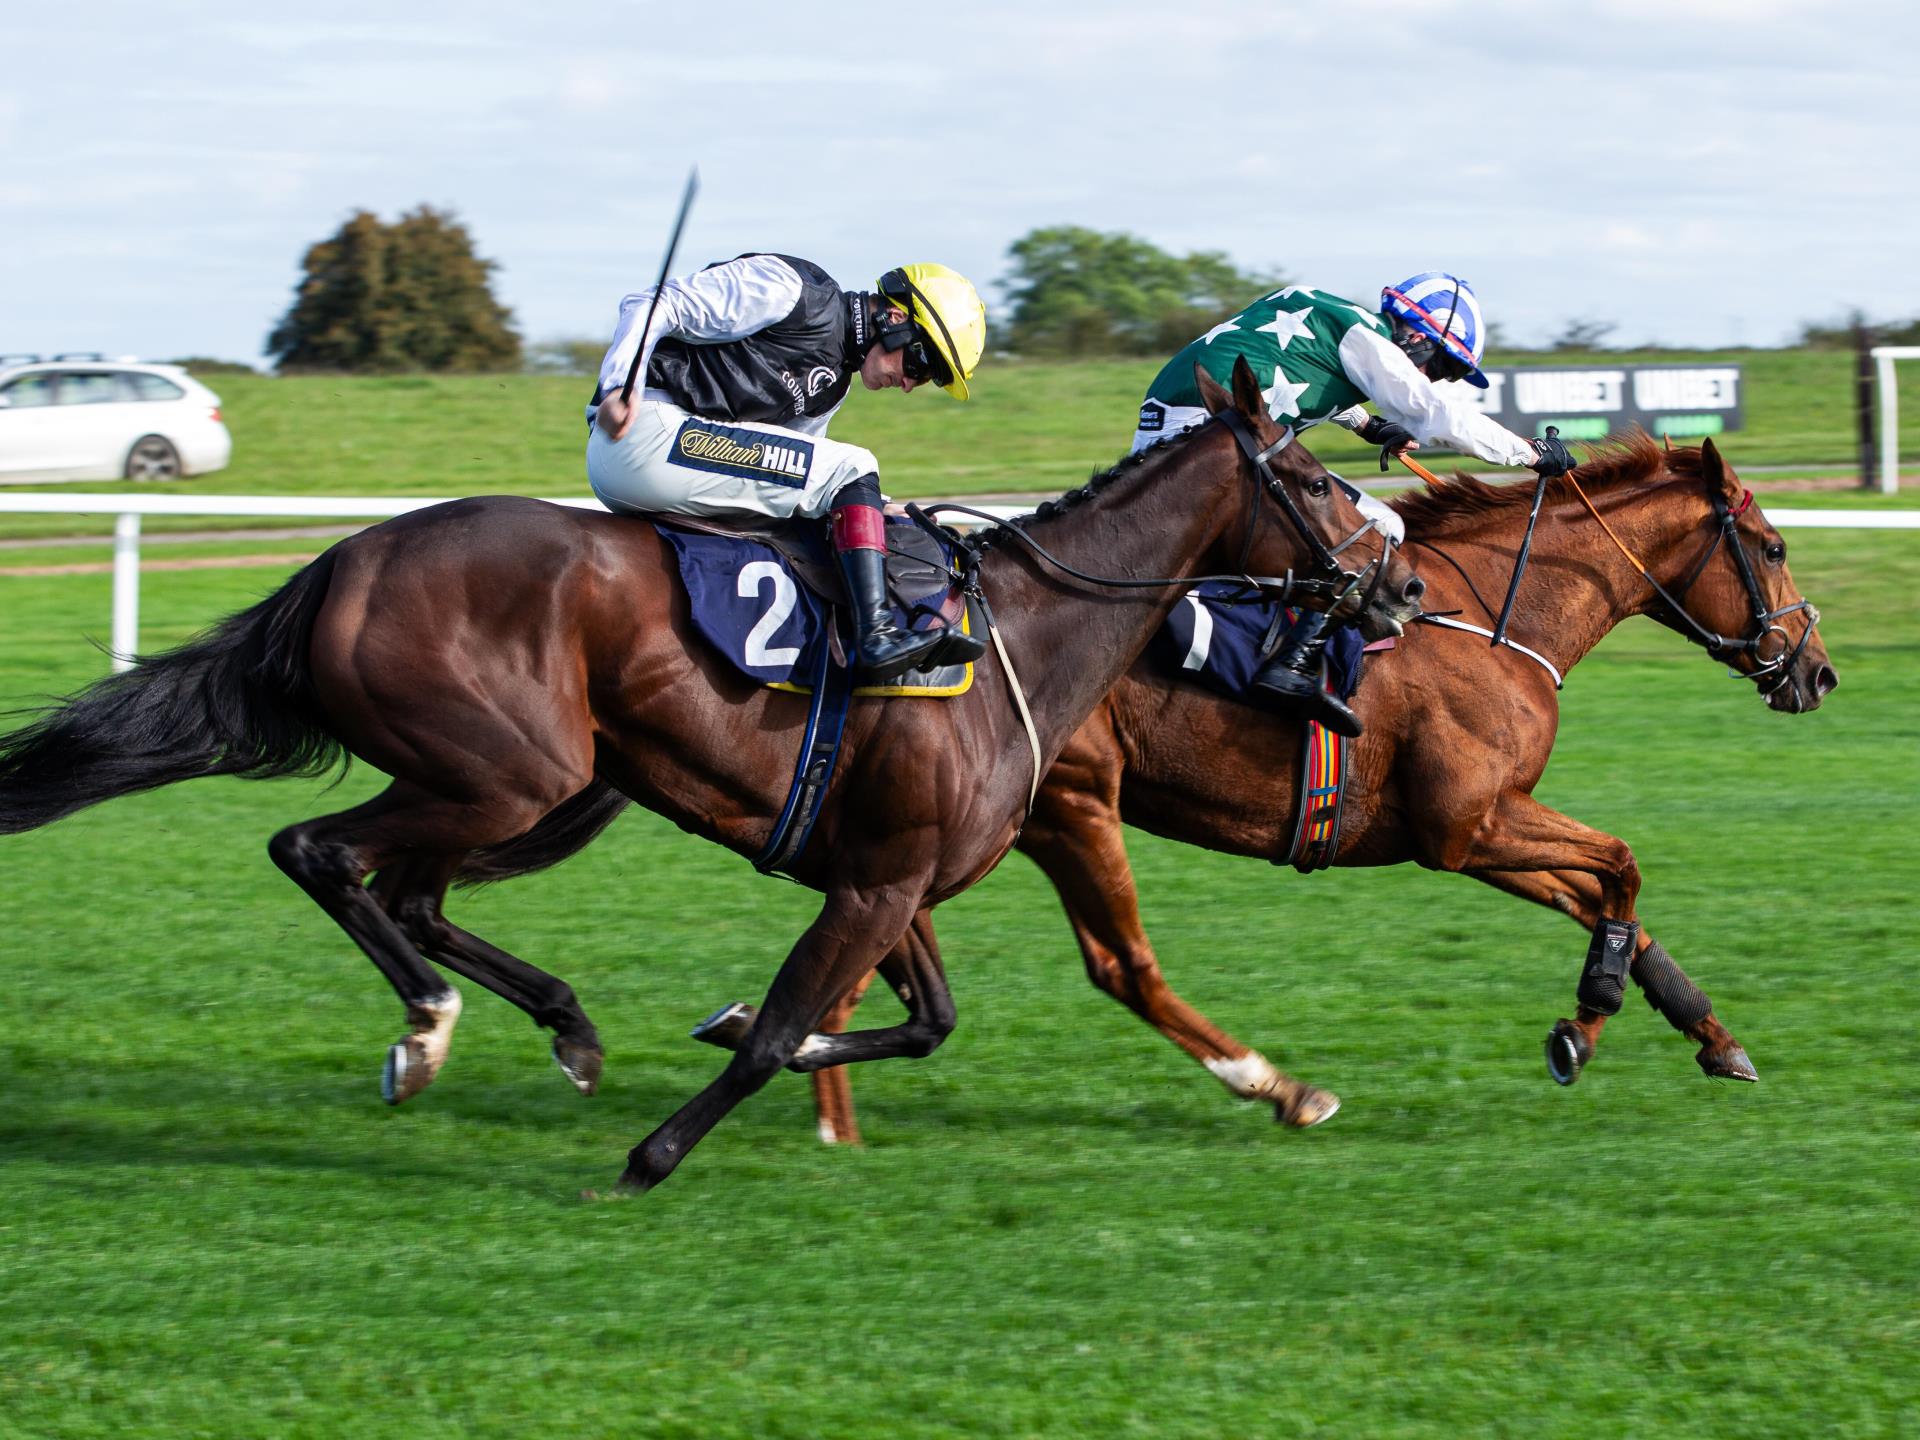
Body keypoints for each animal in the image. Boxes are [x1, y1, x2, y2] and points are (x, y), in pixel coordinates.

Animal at [0, 362, 1428, 1198]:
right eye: (1315, 480)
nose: (1404, 587)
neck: (1018, 631)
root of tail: (345, 560)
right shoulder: (875, 881)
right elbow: (795, 1030)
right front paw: (653, 1156)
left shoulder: (890, 875)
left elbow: (915, 1021)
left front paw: (734, 1031)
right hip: (506, 773)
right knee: (325, 855)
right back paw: (427, 1030)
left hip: (514, 779)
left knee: (404, 892)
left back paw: (557, 1027)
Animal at [737, 433, 1843, 1144]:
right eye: (1776, 547)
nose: (1817, 672)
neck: (1493, 614)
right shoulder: (1467, 825)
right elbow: (1622, 866)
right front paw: (1587, 1018)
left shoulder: (1474, 831)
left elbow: (1612, 900)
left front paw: (1700, 1034)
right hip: (1070, 805)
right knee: (1113, 963)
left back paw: (799, 1068)